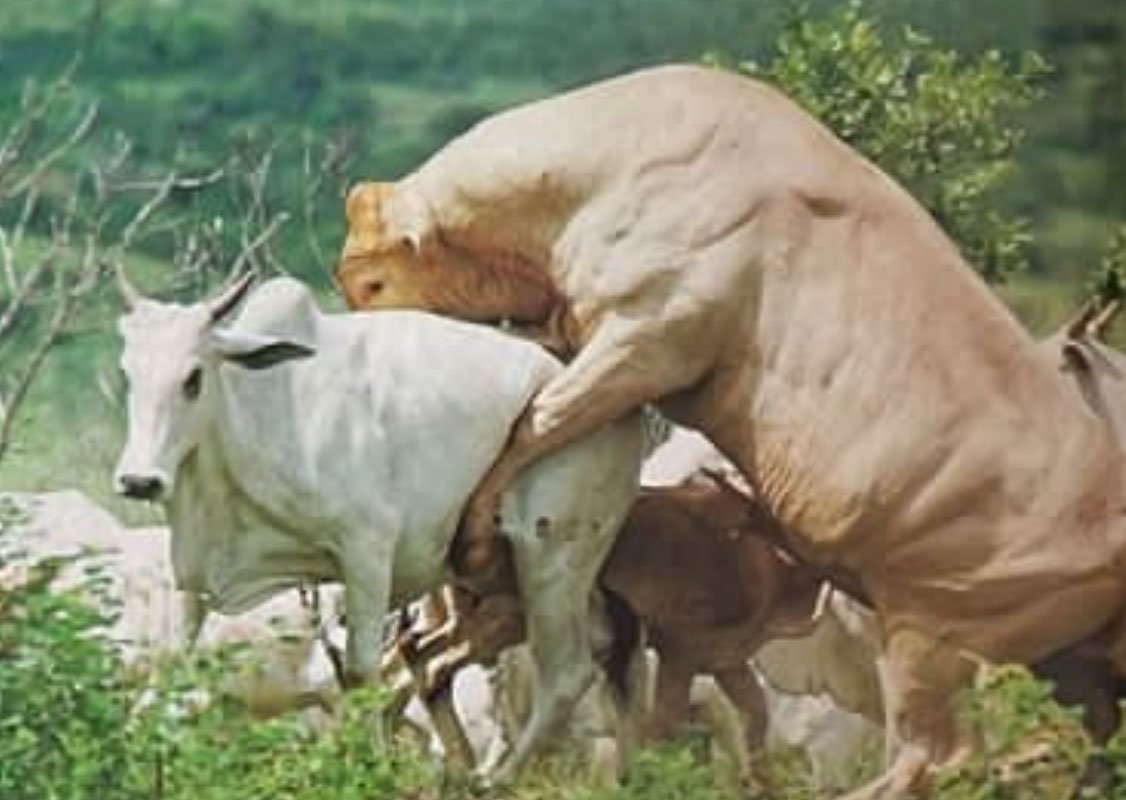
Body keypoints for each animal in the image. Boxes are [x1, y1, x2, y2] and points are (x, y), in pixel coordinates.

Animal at [113, 273, 644, 784]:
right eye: (129, 375)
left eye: (193, 378)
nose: (139, 480)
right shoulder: (195, 578)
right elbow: (174, 665)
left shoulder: (366, 553)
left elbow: (360, 672)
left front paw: (366, 766)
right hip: (500, 582)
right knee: (448, 660)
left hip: (552, 556)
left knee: (567, 674)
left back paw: (496, 779)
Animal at [337, 64, 1126, 800]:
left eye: (372, 283)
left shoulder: (647, 340)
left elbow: (539, 420)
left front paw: (473, 535)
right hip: (1071, 666)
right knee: (1074, 750)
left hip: (932, 640)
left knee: (938, 758)